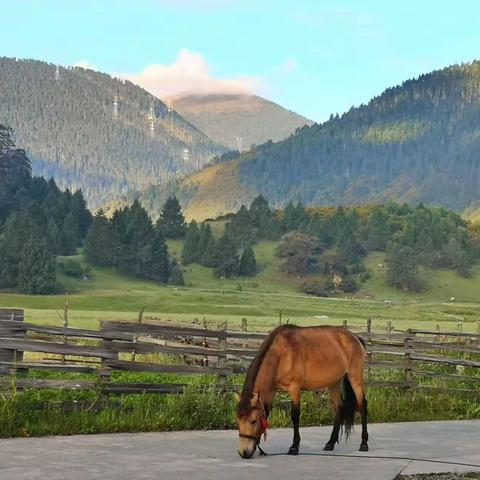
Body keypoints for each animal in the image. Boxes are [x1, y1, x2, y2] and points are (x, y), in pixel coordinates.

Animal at [234, 324, 370, 460]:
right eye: (238, 420)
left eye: (253, 421)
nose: (243, 452)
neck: (280, 354)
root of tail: (354, 337)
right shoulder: (271, 391)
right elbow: (266, 413)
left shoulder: (295, 388)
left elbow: (294, 416)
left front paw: (294, 446)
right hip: (334, 383)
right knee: (339, 409)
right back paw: (330, 443)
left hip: (355, 378)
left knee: (363, 406)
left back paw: (364, 444)